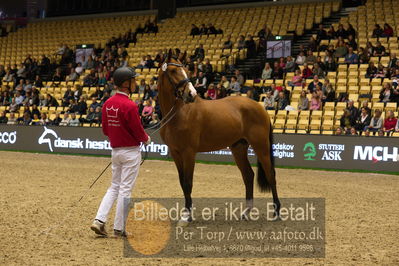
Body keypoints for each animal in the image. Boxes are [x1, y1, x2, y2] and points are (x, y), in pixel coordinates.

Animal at [158, 50, 280, 224]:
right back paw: (246, 212)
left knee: (270, 175)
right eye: (174, 71)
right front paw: (186, 213)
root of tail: (259, 107)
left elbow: (188, 183)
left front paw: (186, 216)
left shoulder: (189, 152)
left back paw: (276, 212)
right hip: (238, 148)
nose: (191, 94)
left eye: (186, 70)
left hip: (261, 146)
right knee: (248, 175)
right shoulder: (175, 153)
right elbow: (182, 183)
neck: (178, 113)